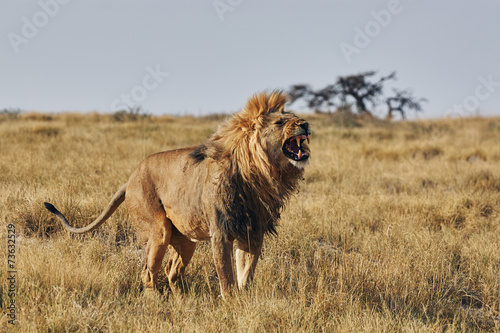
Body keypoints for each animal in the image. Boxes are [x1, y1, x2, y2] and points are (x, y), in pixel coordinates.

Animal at [45, 91, 310, 296]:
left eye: (295, 118)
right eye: (279, 123)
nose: (306, 123)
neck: (261, 171)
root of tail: (129, 178)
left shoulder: (252, 232)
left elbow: (245, 272)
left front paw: (244, 299)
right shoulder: (221, 232)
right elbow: (226, 276)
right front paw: (232, 303)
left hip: (185, 240)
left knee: (172, 271)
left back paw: (182, 302)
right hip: (157, 230)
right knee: (148, 272)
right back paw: (154, 303)